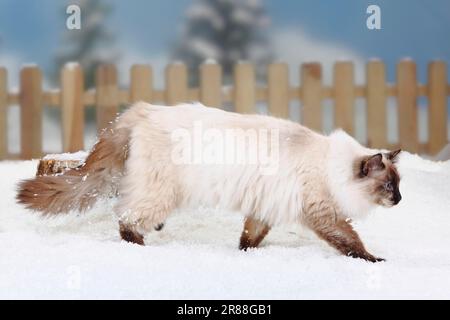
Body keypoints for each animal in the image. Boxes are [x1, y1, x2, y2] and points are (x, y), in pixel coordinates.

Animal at [16, 102, 400, 262]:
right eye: (387, 187)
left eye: (397, 185)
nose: (399, 200)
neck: (330, 167)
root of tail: (145, 109)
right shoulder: (323, 213)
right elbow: (351, 242)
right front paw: (374, 260)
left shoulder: (264, 209)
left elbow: (249, 238)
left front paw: (244, 255)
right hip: (161, 193)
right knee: (125, 219)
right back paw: (141, 246)